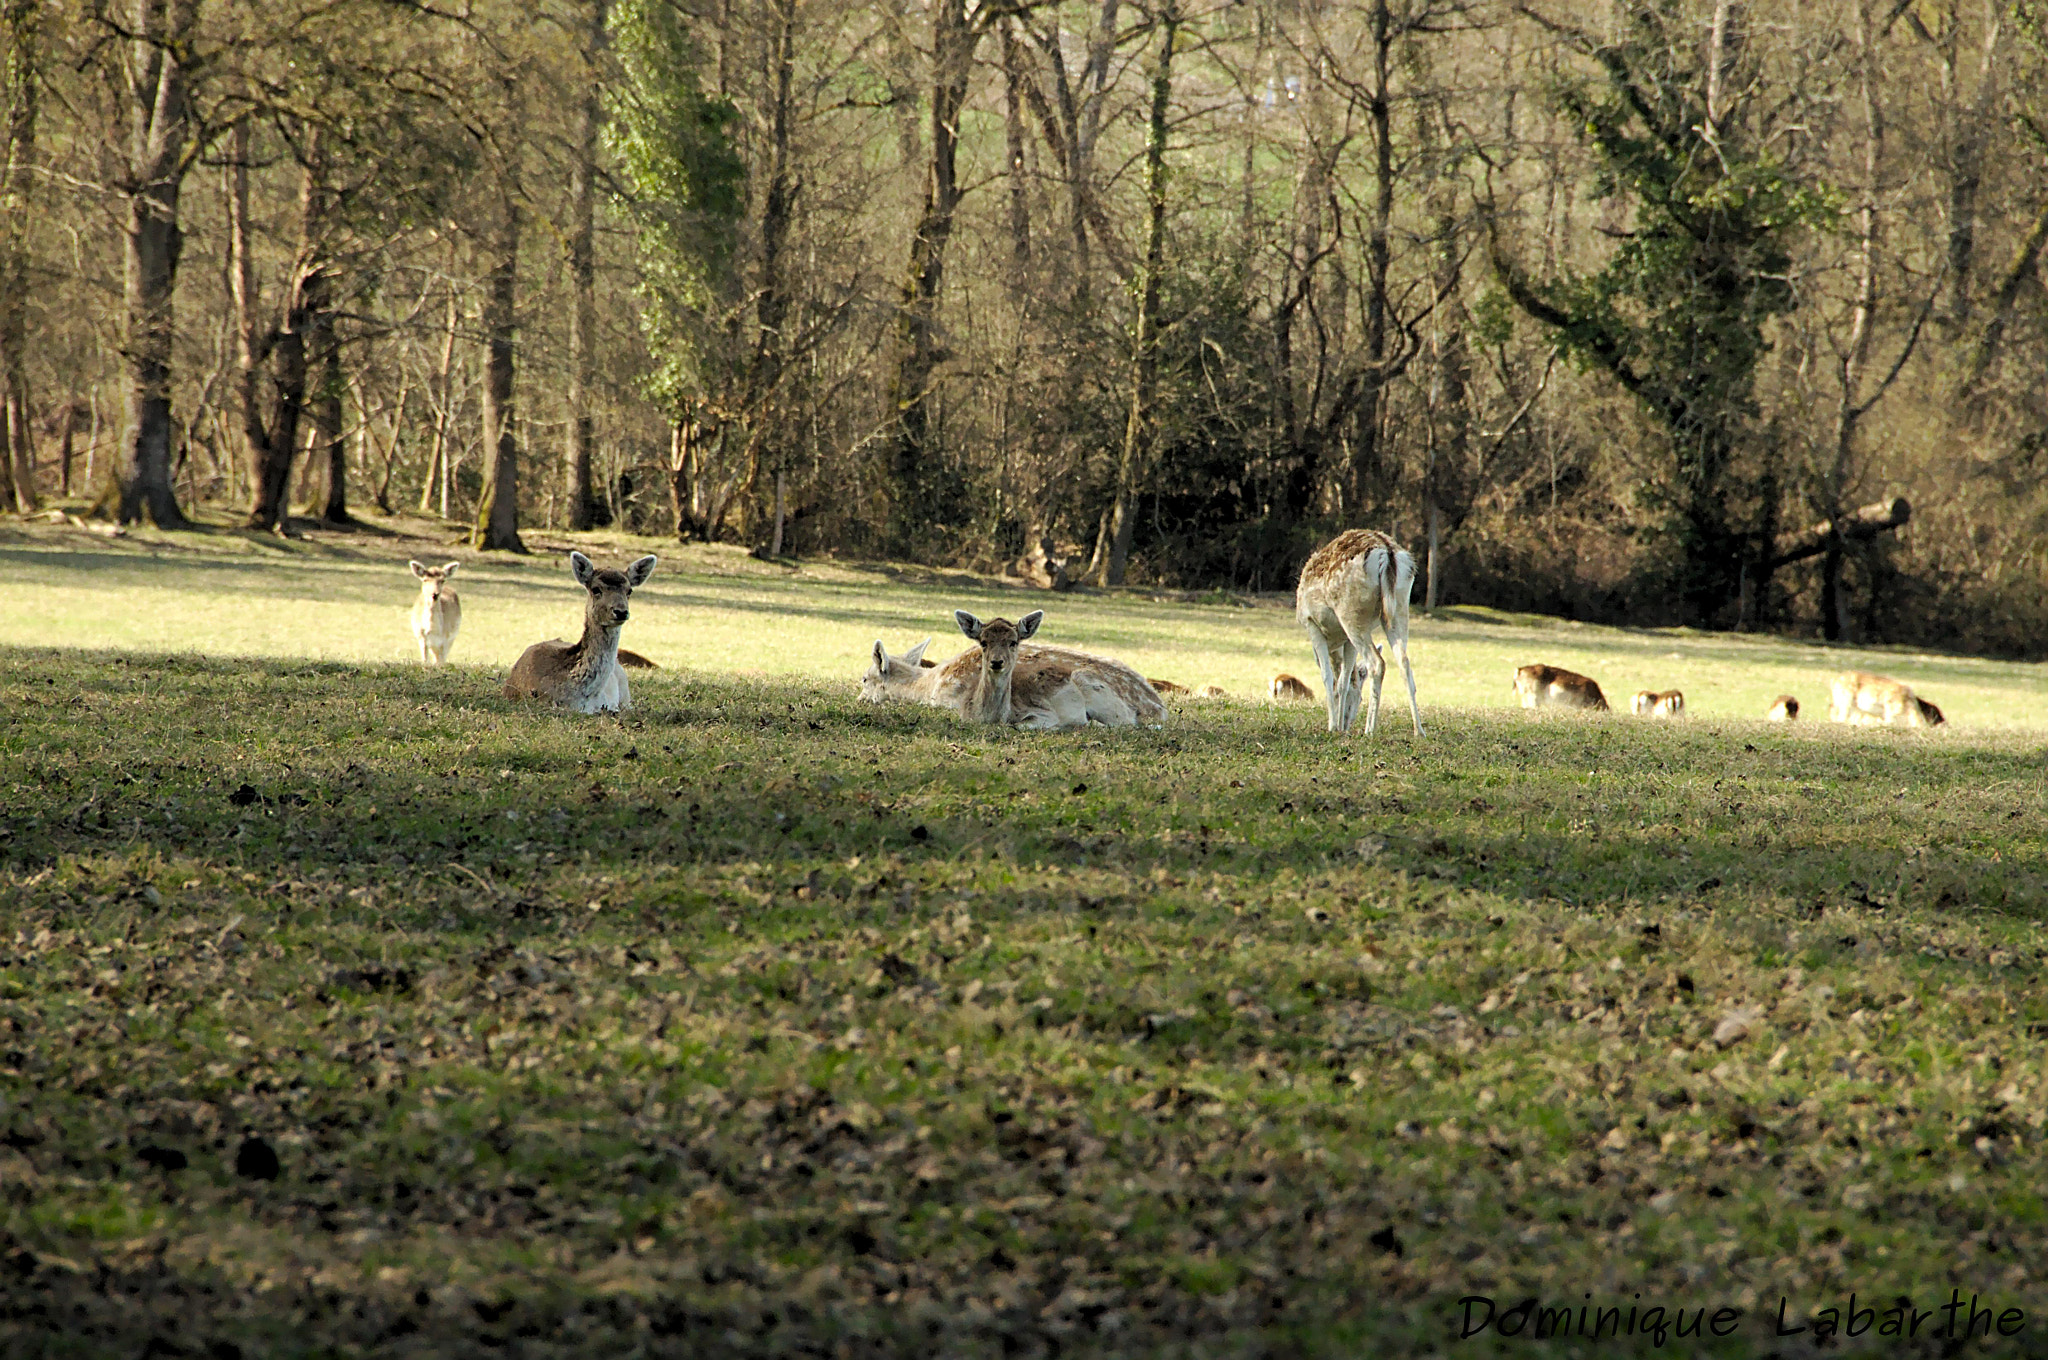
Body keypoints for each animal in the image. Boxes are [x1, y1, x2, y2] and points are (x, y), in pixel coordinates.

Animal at [1294, 528, 1425, 733]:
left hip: (1351, 614)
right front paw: (1339, 726)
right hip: (1400, 607)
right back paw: (1418, 730)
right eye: (1358, 698)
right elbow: (1343, 681)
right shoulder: (1347, 640)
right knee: (1404, 662)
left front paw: (1332, 726)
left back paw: (1369, 729)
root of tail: (1387, 552)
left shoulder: (1311, 623)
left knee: (1377, 663)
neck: (1334, 641)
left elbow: (1327, 677)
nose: (1347, 723)